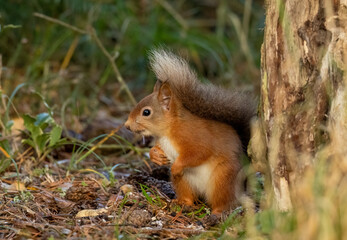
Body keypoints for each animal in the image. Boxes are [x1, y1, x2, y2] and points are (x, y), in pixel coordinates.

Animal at [125, 49, 256, 215]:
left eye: (146, 112)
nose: (127, 125)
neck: (168, 131)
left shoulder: (196, 137)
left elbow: (199, 152)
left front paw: (175, 166)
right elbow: (158, 149)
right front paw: (155, 155)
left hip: (222, 178)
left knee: (224, 201)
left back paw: (217, 212)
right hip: (184, 181)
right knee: (189, 196)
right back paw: (182, 203)